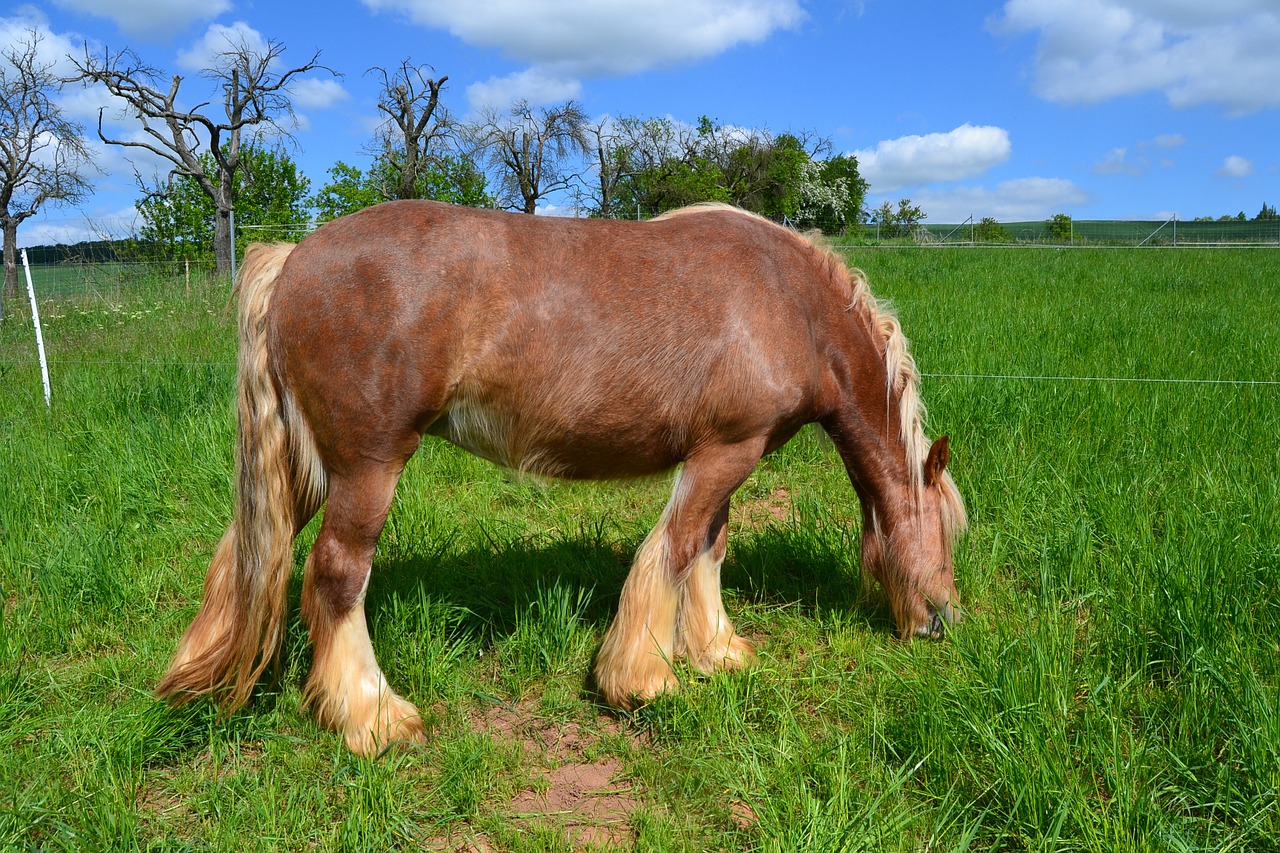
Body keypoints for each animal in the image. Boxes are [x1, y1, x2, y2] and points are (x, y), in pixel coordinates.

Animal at [154, 199, 962, 753]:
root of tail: (294, 257)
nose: (941, 622)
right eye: (950, 533)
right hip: (366, 469)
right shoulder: (727, 450)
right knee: (334, 576)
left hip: (306, 467)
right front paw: (645, 679)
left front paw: (719, 653)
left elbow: (708, 550)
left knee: (248, 555)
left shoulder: (729, 452)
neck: (791, 302)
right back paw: (373, 716)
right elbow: (674, 552)